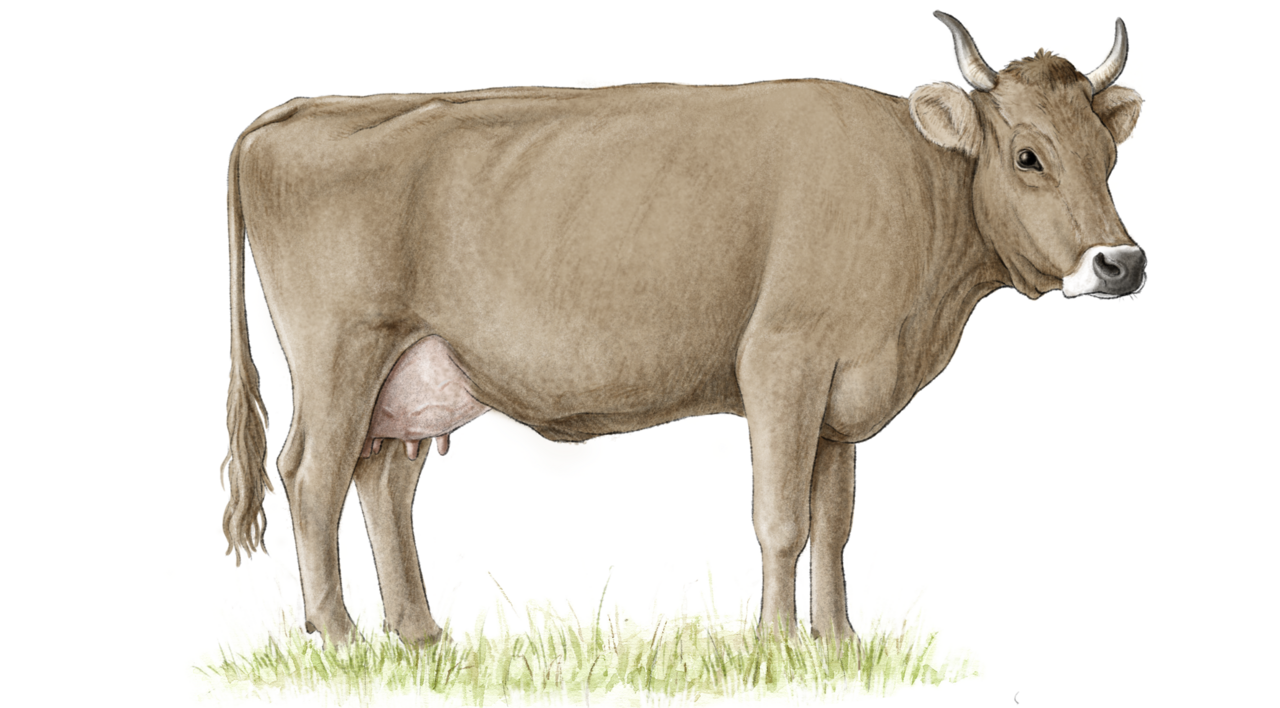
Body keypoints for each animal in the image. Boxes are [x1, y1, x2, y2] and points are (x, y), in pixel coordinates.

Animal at [221, 11, 1146, 647]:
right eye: (1028, 155)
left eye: (1108, 155)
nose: (1121, 262)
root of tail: (298, 112)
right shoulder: (782, 362)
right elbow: (781, 518)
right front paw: (775, 643)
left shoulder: (840, 394)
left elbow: (835, 523)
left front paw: (839, 642)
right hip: (342, 352)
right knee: (313, 476)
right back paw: (340, 634)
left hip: (413, 374)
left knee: (383, 480)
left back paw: (417, 635)